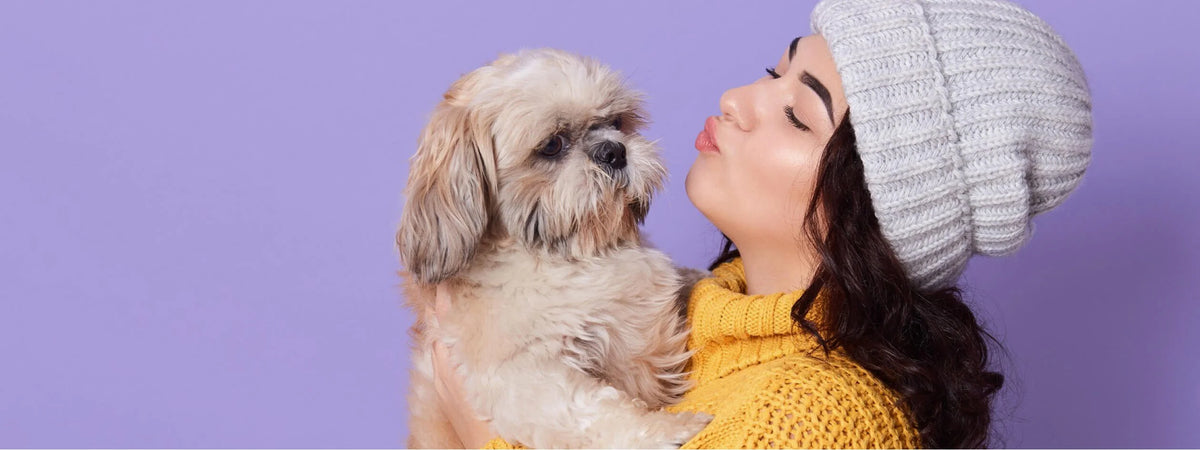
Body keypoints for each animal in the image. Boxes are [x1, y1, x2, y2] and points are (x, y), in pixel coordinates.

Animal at [393, 47, 710, 448]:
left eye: (617, 122)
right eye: (552, 146)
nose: (613, 151)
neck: (576, 255)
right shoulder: (523, 377)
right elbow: (599, 412)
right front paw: (669, 428)